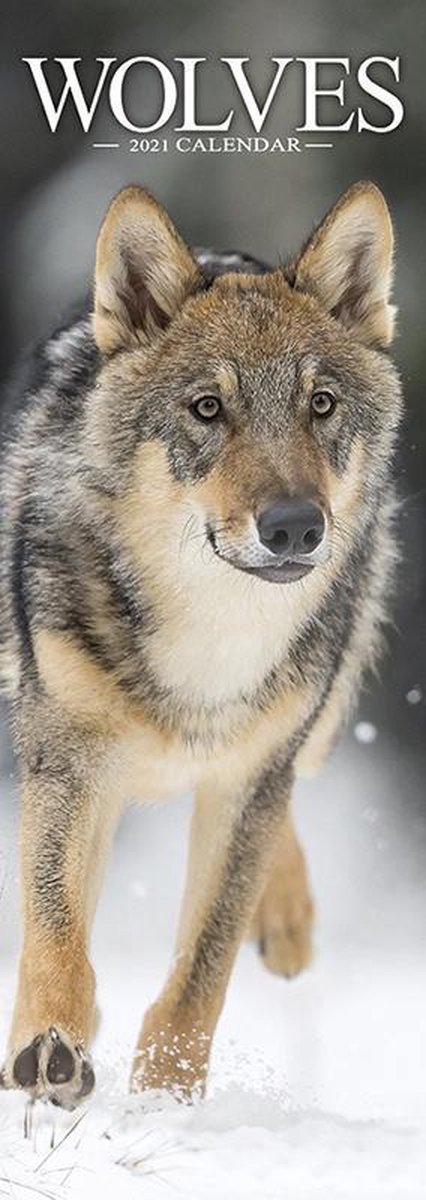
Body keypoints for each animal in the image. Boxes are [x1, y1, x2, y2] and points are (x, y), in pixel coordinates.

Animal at [0, 181, 402, 1107]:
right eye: (208, 409)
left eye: (320, 405)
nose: (293, 528)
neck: (211, 644)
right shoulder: (66, 759)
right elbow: (55, 930)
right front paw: (50, 1047)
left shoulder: (251, 776)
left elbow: (201, 973)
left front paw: (168, 1097)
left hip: (316, 717)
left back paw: (287, 923)